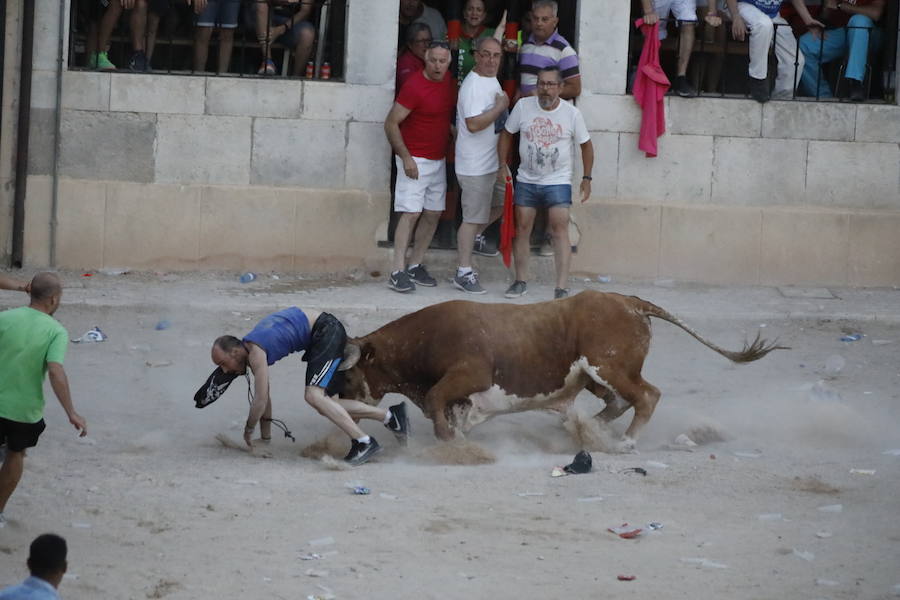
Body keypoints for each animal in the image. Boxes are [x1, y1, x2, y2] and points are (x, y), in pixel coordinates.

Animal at [342, 290, 784, 450]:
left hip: (608, 365)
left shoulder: (469, 375)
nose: (337, 401)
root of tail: (629, 301)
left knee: (646, 395)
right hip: (594, 377)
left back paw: (625, 442)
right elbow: (454, 410)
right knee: (617, 402)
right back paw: (586, 429)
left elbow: (438, 399)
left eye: (347, 376)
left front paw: (449, 441)